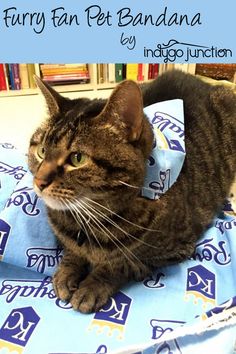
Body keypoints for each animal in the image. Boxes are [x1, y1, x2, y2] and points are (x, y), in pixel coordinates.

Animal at [28, 71, 236, 312]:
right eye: (42, 151)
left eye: (77, 159)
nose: (39, 181)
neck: (87, 221)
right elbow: (72, 251)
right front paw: (66, 272)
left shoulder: (175, 249)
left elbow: (121, 264)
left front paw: (91, 286)